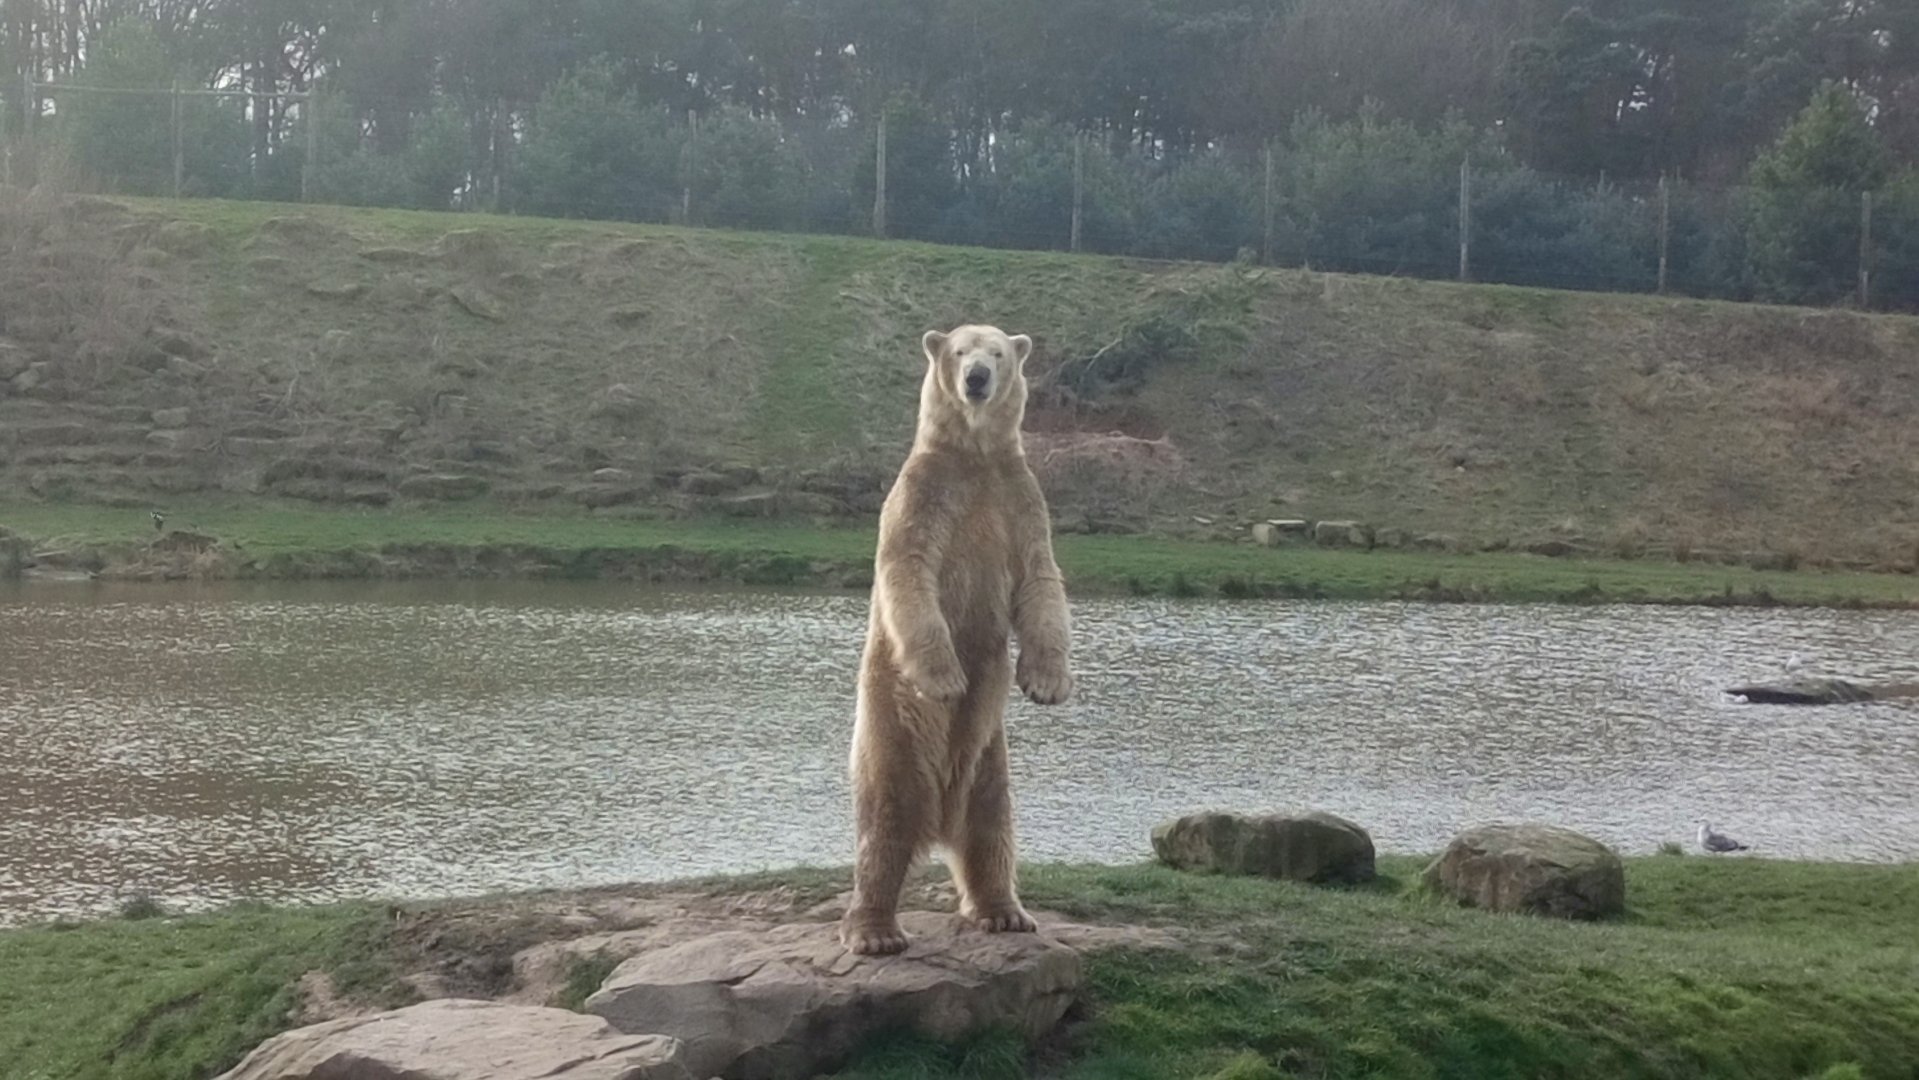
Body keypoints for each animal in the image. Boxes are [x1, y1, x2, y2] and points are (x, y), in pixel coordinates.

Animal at [839, 323, 1075, 956]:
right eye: (959, 350)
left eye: (996, 351)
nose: (977, 378)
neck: (974, 459)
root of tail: (940, 815)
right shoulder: (923, 495)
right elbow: (909, 571)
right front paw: (946, 677)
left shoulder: (1019, 498)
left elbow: (1042, 577)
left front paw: (1047, 683)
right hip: (890, 730)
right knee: (885, 826)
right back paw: (874, 930)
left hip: (990, 753)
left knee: (992, 825)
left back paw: (1005, 912)